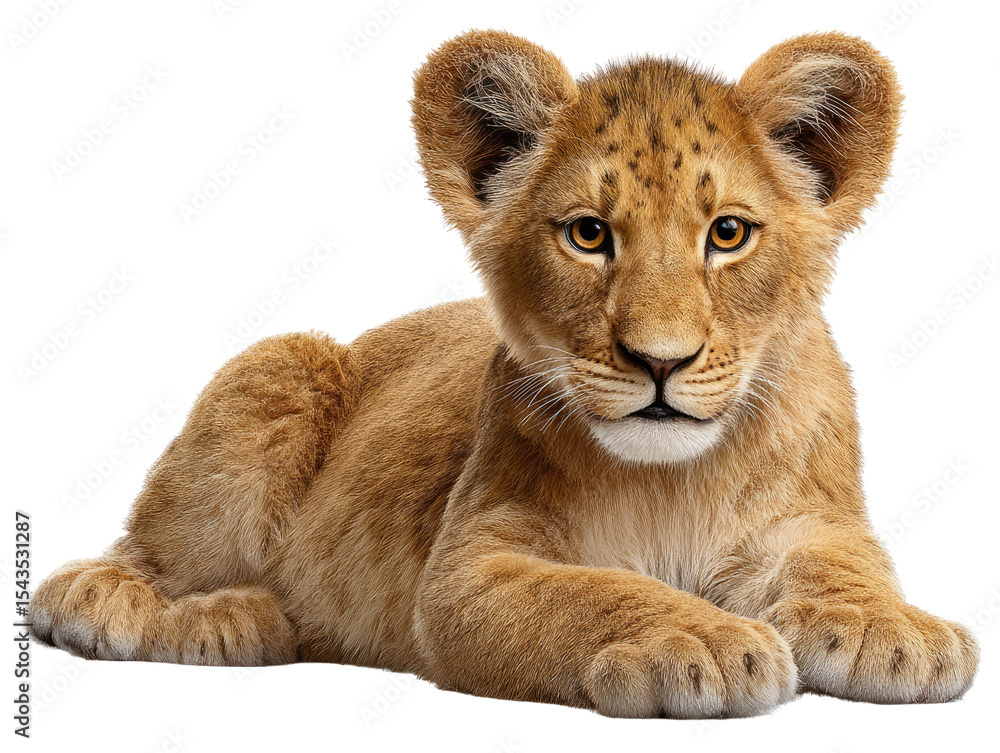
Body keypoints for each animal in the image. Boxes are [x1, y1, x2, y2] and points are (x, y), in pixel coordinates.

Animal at [30, 30, 979, 718]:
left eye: (728, 233)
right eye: (589, 234)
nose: (659, 360)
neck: (674, 480)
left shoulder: (818, 522)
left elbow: (848, 567)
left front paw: (898, 632)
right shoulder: (468, 570)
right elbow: (594, 591)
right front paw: (703, 640)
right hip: (282, 363)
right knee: (112, 568)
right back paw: (204, 614)